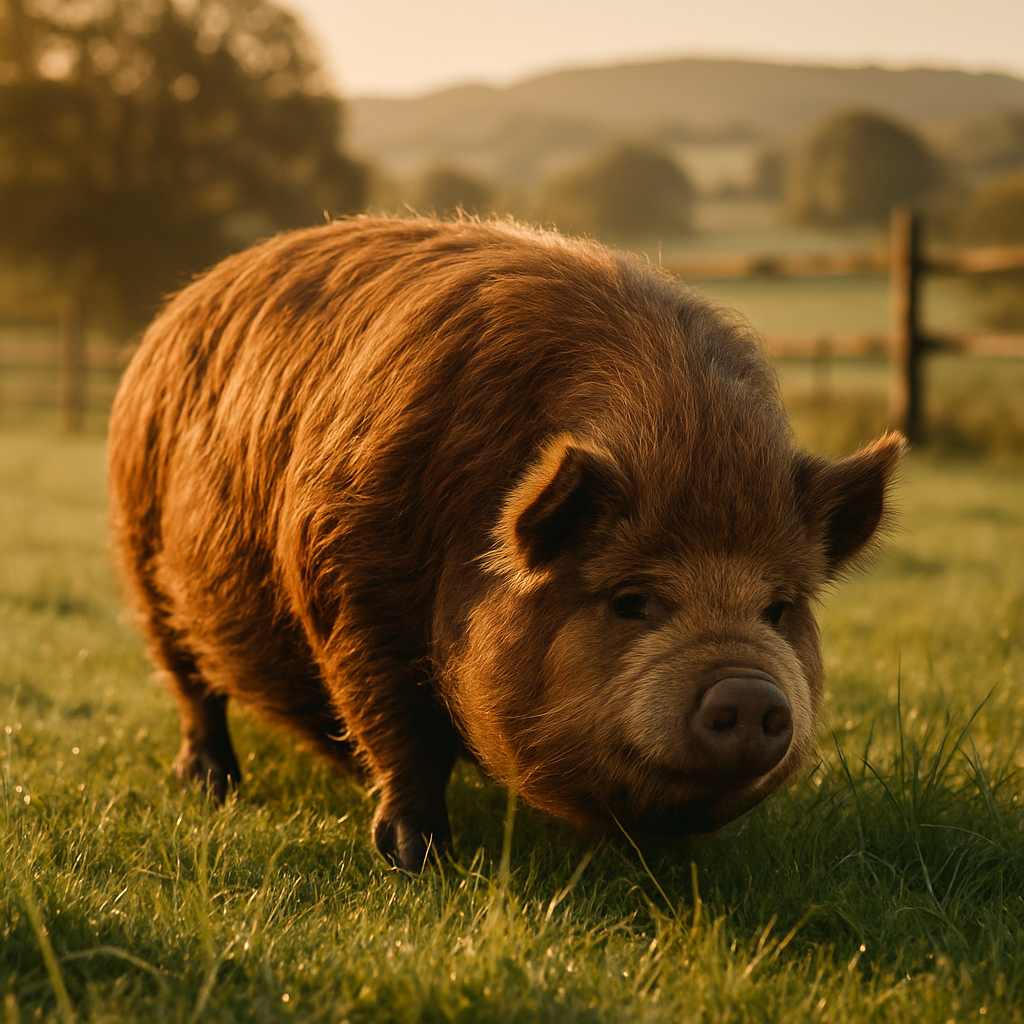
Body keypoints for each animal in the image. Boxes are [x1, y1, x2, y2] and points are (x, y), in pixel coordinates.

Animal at [107, 215, 904, 871]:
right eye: (630, 599)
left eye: (778, 608)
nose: (745, 688)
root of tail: (180, 304)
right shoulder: (352, 592)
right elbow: (399, 734)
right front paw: (418, 860)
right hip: (141, 563)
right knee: (193, 688)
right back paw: (208, 786)